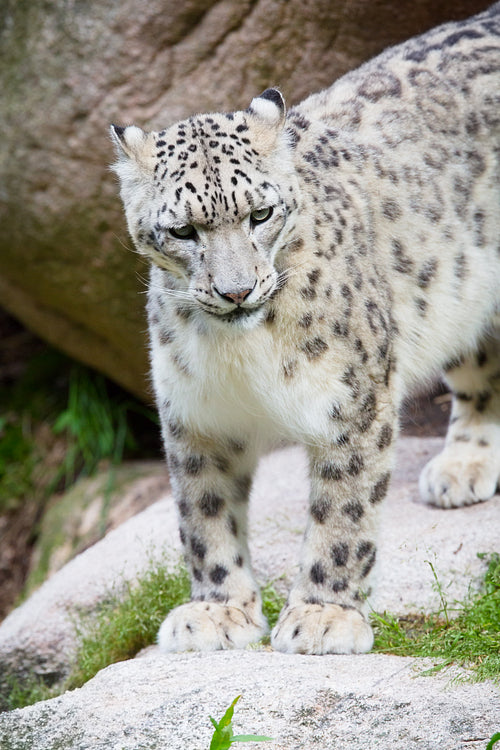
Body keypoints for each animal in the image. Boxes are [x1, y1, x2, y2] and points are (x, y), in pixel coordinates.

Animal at [110, 2, 500, 656]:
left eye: (260, 214)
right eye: (184, 230)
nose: (236, 290)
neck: (242, 351)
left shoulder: (353, 400)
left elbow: (344, 509)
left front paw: (323, 616)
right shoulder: (195, 412)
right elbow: (205, 511)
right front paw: (217, 610)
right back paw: (464, 467)